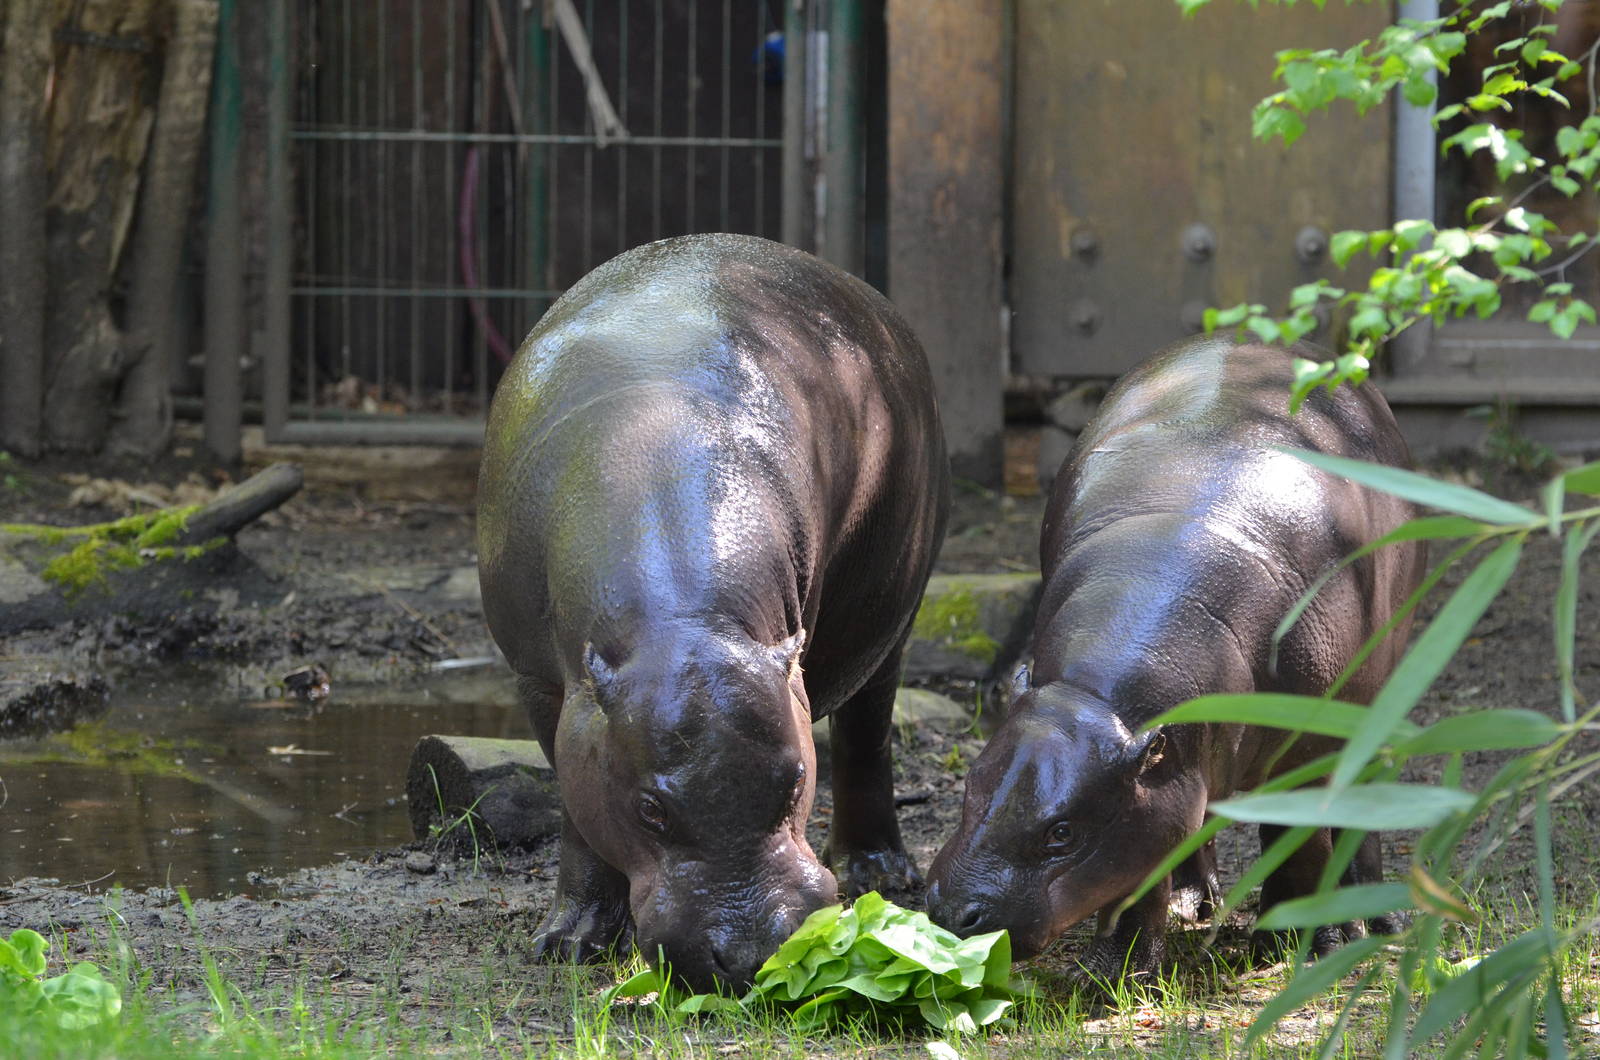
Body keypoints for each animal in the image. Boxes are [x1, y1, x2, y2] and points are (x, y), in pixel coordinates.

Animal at [476, 233, 949, 990]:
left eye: (795, 782)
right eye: (650, 808)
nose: (753, 950)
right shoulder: (544, 682)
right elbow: (579, 807)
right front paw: (570, 943)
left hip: (894, 611)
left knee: (868, 729)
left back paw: (876, 870)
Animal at [925, 336, 1425, 981]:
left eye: (1062, 833)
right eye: (971, 782)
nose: (951, 910)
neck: (1102, 703)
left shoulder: (1299, 750)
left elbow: (1300, 841)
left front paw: (1311, 946)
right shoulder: (1143, 787)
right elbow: (1139, 873)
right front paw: (1113, 976)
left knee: (1357, 795)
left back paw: (1374, 918)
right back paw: (1194, 906)